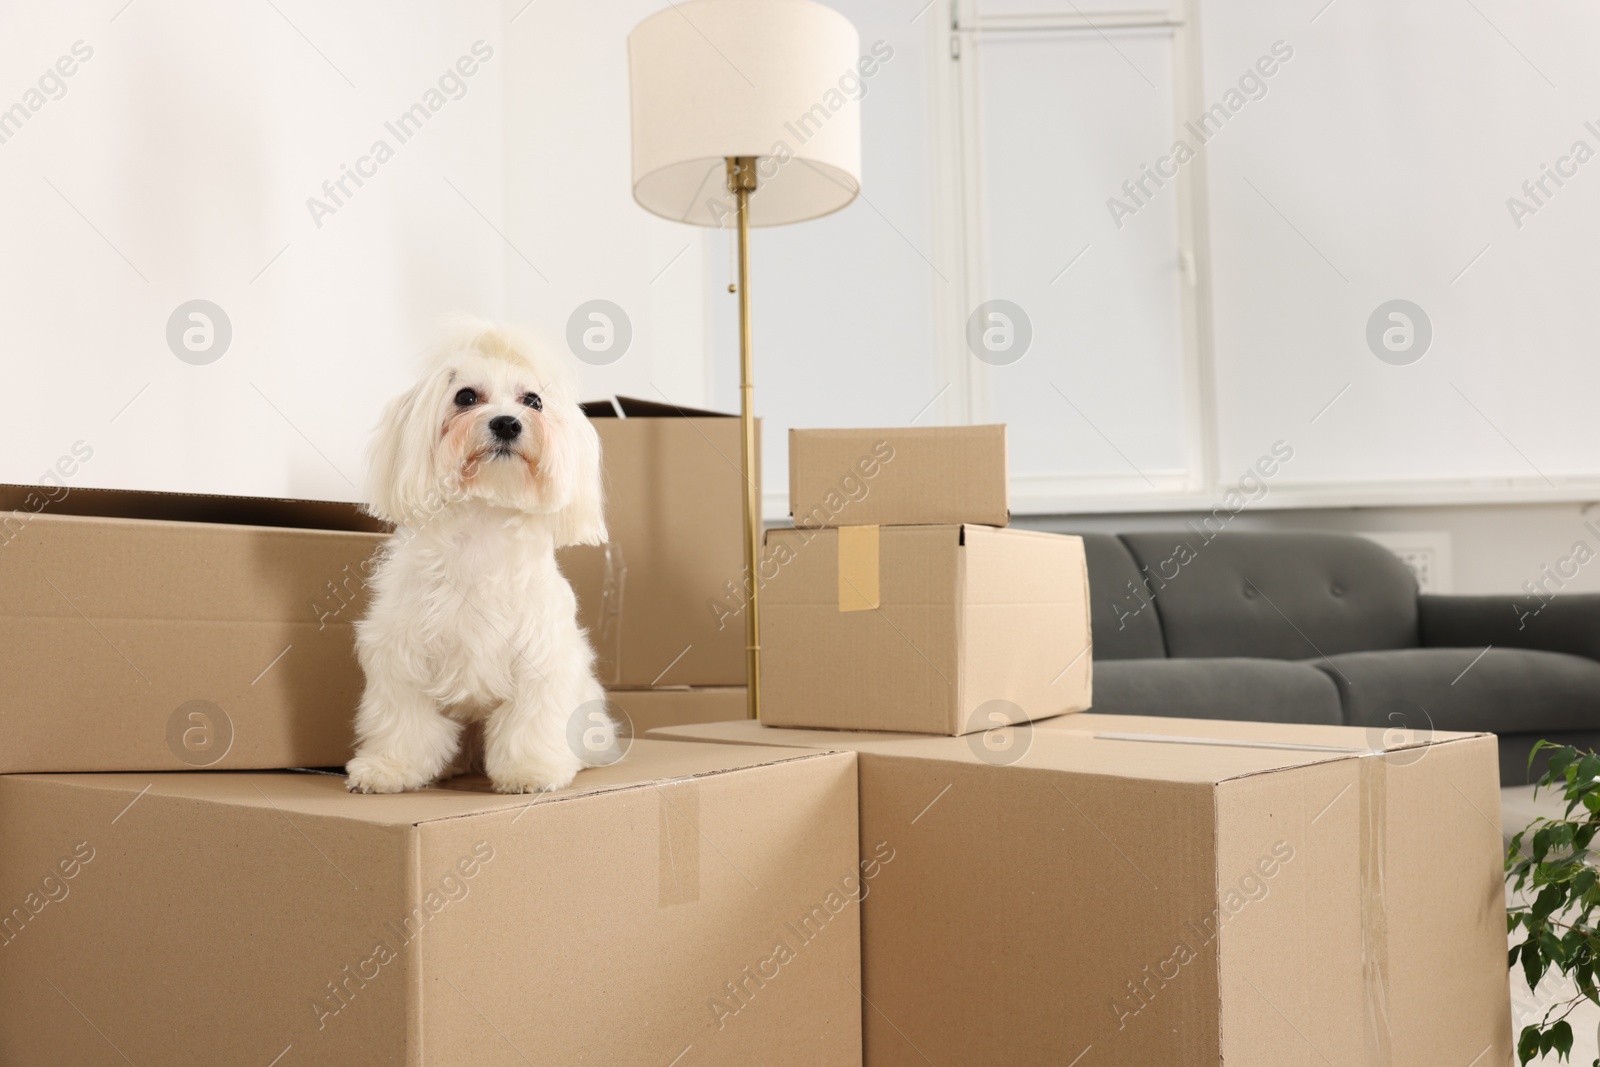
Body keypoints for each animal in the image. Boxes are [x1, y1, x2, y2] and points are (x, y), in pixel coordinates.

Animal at [347, 316, 614, 793]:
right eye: (466, 397)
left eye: (534, 401)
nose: (507, 424)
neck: (483, 524)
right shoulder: (402, 654)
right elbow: (404, 720)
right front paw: (389, 768)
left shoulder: (540, 657)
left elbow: (529, 722)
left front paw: (531, 771)